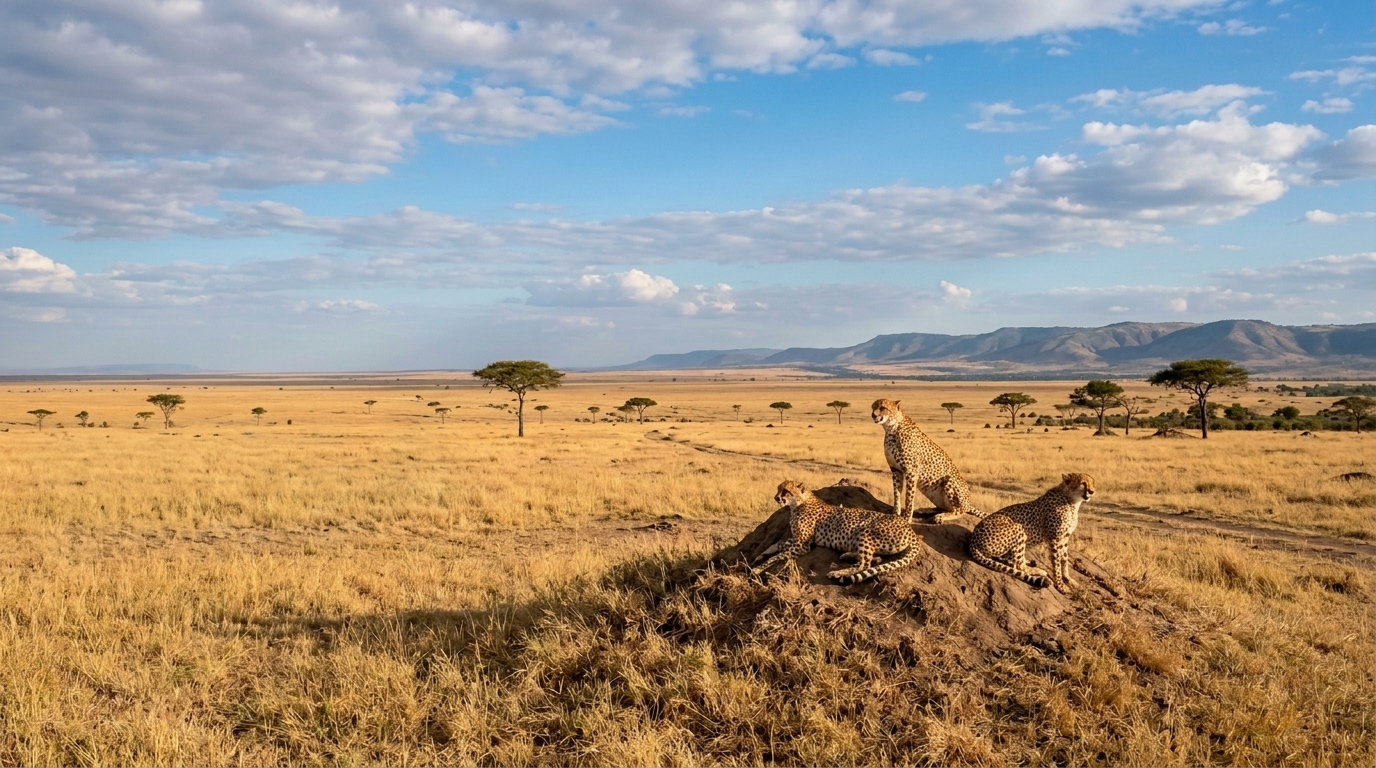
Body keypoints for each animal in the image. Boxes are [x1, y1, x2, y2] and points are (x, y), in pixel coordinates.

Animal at [753, 480, 923, 585]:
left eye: (786, 491)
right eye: (778, 489)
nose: (776, 498)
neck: (799, 503)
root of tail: (910, 528)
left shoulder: (803, 545)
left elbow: (777, 556)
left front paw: (758, 568)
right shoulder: (797, 540)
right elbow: (778, 544)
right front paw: (760, 555)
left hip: (865, 529)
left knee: (865, 563)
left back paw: (838, 573)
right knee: (876, 558)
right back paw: (847, 555)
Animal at [967, 472, 1095, 592]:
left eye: (1092, 483)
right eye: (1083, 483)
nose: (1092, 491)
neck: (1071, 501)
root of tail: (973, 539)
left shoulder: (1064, 538)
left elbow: (1064, 559)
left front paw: (1069, 580)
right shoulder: (1055, 538)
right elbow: (1056, 563)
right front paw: (1060, 586)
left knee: (1010, 560)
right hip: (1018, 528)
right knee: (1018, 564)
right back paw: (1039, 571)